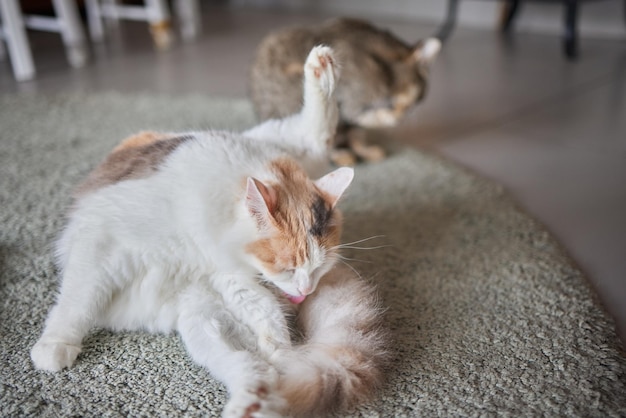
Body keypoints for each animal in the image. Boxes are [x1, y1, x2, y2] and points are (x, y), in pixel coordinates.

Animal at [33, 46, 390, 418]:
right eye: (288, 268)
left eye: (320, 270)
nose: (306, 291)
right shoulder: (104, 246)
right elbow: (77, 300)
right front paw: (55, 345)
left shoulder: (228, 274)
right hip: (205, 317)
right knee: (250, 361)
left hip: (205, 312)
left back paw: (258, 396)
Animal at [249, 18, 438, 166]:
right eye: (419, 92)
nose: (405, 114)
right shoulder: (351, 106)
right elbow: (368, 118)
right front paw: (389, 118)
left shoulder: (356, 118)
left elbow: (358, 134)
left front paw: (366, 149)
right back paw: (341, 154)